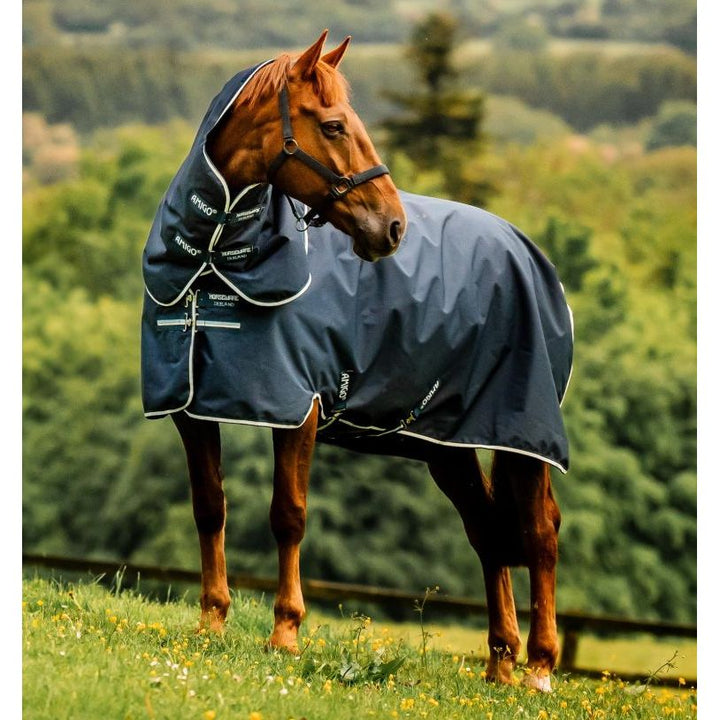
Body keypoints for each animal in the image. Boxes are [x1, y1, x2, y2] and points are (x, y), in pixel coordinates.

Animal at [142, 31, 571, 692]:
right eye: (335, 125)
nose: (391, 227)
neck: (215, 258)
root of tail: (526, 251)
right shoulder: (192, 409)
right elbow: (209, 508)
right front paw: (211, 621)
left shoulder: (298, 410)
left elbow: (288, 515)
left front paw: (285, 634)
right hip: (446, 444)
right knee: (487, 532)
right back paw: (500, 664)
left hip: (524, 436)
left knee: (539, 532)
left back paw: (540, 669)